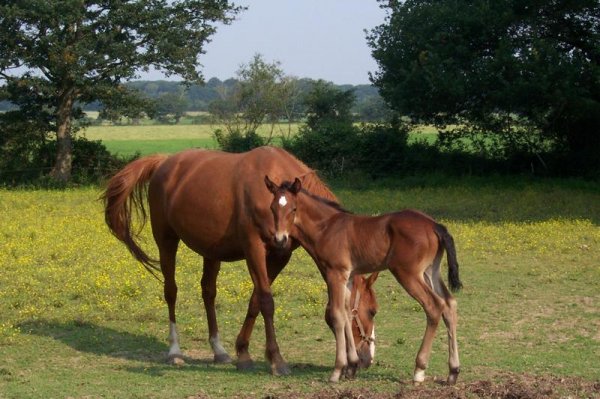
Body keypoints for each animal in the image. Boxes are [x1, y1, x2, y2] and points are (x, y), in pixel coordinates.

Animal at [264, 177, 462, 384]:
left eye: (293, 208)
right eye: (272, 208)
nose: (280, 239)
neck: (326, 228)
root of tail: (434, 225)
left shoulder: (335, 274)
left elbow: (336, 315)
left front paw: (337, 370)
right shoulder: (348, 278)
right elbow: (347, 313)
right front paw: (351, 366)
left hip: (408, 273)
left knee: (434, 306)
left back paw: (419, 370)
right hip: (431, 271)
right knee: (450, 304)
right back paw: (453, 371)